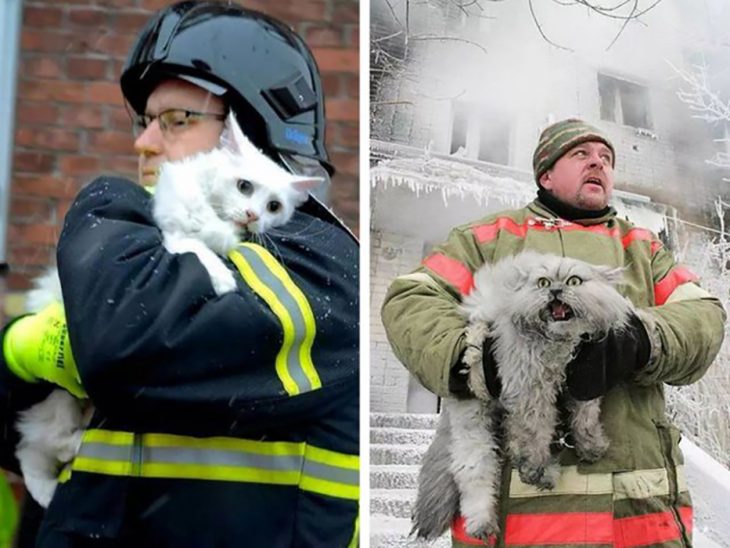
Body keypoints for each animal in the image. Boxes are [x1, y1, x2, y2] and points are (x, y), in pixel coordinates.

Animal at [15, 113, 318, 508]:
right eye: (244, 187)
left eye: (274, 207)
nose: (253, 216)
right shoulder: (173, 235)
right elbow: (197, 249)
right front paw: (222, 280)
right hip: (58, 401)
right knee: (39, 447)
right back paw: (61, 468)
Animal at [410, 252, 632, 540]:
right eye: (543, 282)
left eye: (573, 281)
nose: (555, 291)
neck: (558, 346)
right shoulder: (530, 391)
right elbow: (535, 435)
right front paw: (535, 467)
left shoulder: (587, 380)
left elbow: (584, 419)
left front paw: (590, 446)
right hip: (474, 422)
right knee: (473, 472)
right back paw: (482, 522)